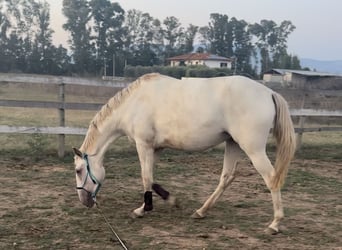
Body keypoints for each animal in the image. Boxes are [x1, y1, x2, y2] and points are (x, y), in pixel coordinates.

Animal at [73, 73, 296, 233]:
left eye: (78, 170)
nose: (84, 202)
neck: (135, 102)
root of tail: (269, 93)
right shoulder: (156, 148)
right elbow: (151, 178)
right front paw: (170, 200)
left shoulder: (143, 145)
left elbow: (145, 177)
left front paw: (142, 210)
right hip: (233, 144)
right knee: (226, 177)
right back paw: (201, 211)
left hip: (253, 148)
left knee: (271, 178)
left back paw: (275, 224)